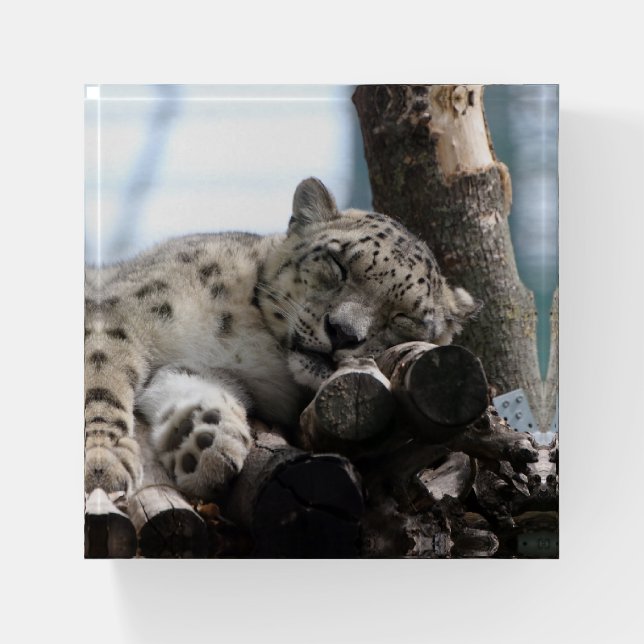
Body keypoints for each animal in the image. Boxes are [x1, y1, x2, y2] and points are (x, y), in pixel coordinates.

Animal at [84, 178, 479, 501]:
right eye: (338, 264)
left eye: (403, 317)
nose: (342, 332)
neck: (250, 342)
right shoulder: (122, 316)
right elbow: (101, 380)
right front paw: (103, 464)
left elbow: (192, 383)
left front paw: (204, 437)